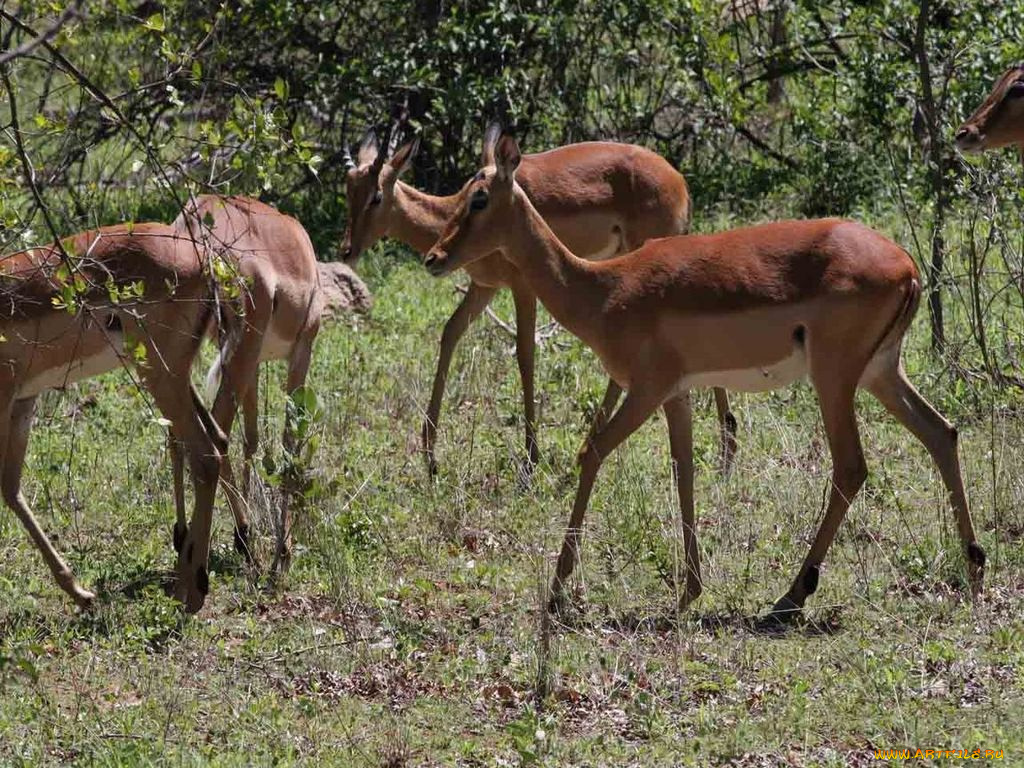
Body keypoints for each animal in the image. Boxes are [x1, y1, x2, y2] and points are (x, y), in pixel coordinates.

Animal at [0, 222, 225, 614]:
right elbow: (11, 489)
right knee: (217, 440)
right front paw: (80, 592)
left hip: (159, 374)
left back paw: (190, 590)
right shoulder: (23, 401)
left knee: (206, 456)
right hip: (173, 376)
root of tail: (202, 258)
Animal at [172, 195, 323, 573]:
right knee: (216, 435)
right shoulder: (301, 350)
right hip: (238, 352)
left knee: (178, 431)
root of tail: (194, 221)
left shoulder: (254, 365)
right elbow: (289, 440)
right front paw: (283, 550)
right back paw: (241, 536)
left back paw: (183, 536)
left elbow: (252, 437)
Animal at [339, 123, 741, 479]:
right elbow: (450, 333)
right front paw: (429, 454)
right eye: (348, 190)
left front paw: (531, 459)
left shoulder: (522, 286)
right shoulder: (484, 287)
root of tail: (679, 181)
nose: (346, 251)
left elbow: (525, 353)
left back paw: (721, 450)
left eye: (376, 195)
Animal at [421, 132, 983, 626]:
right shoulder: (677, 394)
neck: (604, 289)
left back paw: (789, 598)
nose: (433, 258)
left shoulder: (646, 390)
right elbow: (684, 469)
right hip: (881, 373)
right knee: (942, 433)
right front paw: (689, 591)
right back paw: (974, 571)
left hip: (835, 377)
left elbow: (592, 452)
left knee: (851, 467)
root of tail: (908, 267)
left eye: (478, 197)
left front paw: (557, 593)